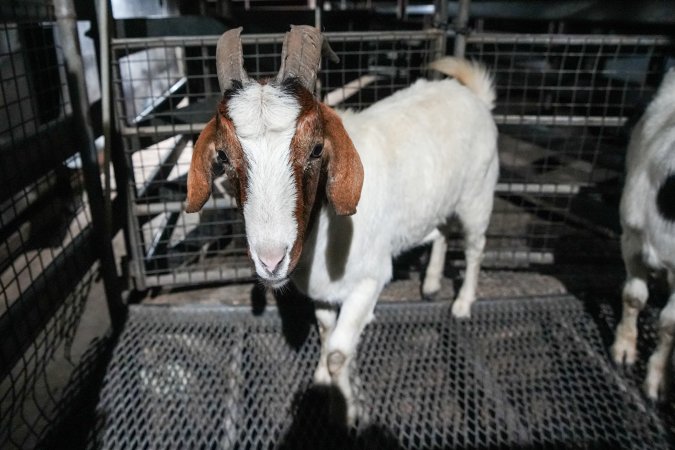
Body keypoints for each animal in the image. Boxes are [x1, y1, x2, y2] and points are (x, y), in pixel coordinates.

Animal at [187, 27, 500, 422]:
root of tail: (473, 96)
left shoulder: (369, 281)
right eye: (225, 156)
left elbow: (338, 351)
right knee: (442, 231)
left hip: (478, 195)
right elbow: (324, 330)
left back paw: (462, 304)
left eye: (317, 149)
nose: (271, 261)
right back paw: (430, 284)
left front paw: (345, 410)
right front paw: (321, 379)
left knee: (475, 247)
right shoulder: (321, 288)